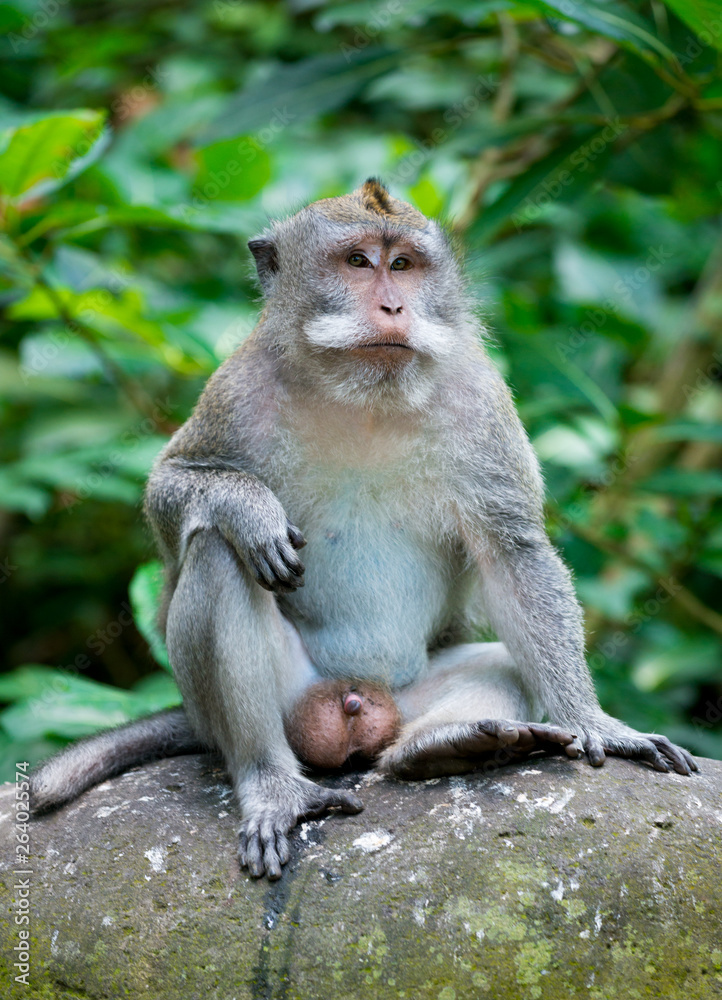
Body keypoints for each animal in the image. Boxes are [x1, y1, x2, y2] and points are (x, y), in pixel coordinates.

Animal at [29, 176, 696, 880]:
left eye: (402, 264)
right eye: (357, 262)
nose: (393, 306)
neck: (366, 395)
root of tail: (356, 699)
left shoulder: (481, 399)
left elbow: (513, 553)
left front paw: (596, 722)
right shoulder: (238, 386)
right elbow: (170, 489)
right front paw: (249, 509)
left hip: (405, 694)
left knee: (501, 667)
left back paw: (444, 748)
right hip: (281, 701)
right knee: (215, 555)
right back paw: (271, 782)